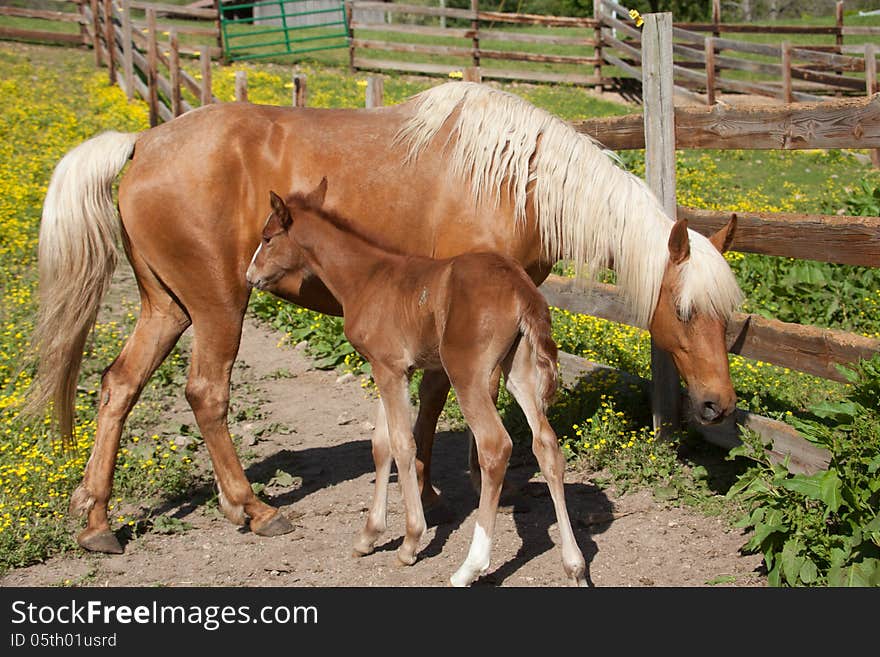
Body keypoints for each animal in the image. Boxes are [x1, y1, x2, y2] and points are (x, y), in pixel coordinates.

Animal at [248, 182, 588, 588]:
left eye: (267, 238)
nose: (250, 276)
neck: (367, 278)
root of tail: (521, 289)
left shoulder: (390, 370)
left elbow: (403, 444)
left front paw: (410, 542)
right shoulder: (388, 369)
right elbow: (382, 445)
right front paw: (368, 536)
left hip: (467, 374)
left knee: (495, 446)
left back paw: (469, 568)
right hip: (519, 370)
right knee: (547, 445)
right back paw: (575, 566)